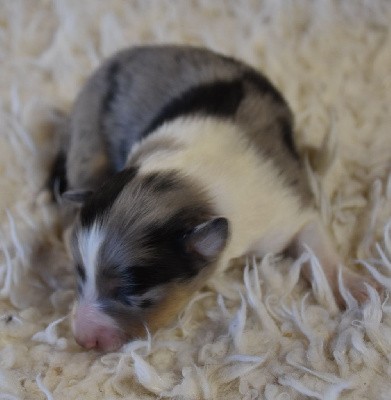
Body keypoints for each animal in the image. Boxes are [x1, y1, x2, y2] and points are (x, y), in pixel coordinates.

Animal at [50, 46, 376, 350]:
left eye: (129, 293)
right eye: (79, 274)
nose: (81, 338)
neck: (193, 180)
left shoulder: (286, 205)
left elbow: (316, 244)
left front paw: (356, 288)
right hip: (87, 139)